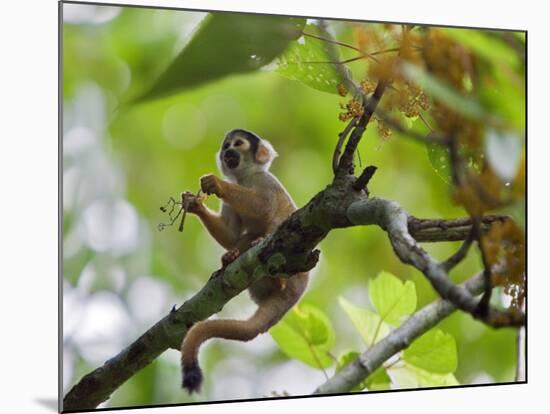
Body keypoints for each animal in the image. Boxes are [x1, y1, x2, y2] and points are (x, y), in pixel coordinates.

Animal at [181, 129, 310, 392]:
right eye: (226, 146)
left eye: (238, 144)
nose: (228, 152)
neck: (246, 177)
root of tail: (297, 293)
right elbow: (231, 234)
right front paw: (194, 205)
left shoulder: (266, 181)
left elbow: (265, 205)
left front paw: (217, 184)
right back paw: (231, 258)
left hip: (296, 272)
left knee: (275, 220)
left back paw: (273, 269)